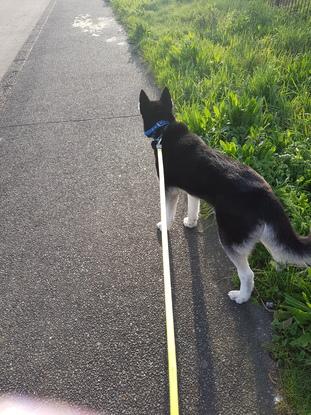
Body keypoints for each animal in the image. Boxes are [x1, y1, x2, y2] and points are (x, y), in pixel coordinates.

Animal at [140, 86, 311, 304]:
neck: (163, 128)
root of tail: (265, 193)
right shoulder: (192, 191)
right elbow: (193, 208)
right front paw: (191, 222)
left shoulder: (169, 190)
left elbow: (168, 214)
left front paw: (164, 226)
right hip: (264, 232)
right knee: (280, 253)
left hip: (230, 239)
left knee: (248, 274)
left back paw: (241, 296)